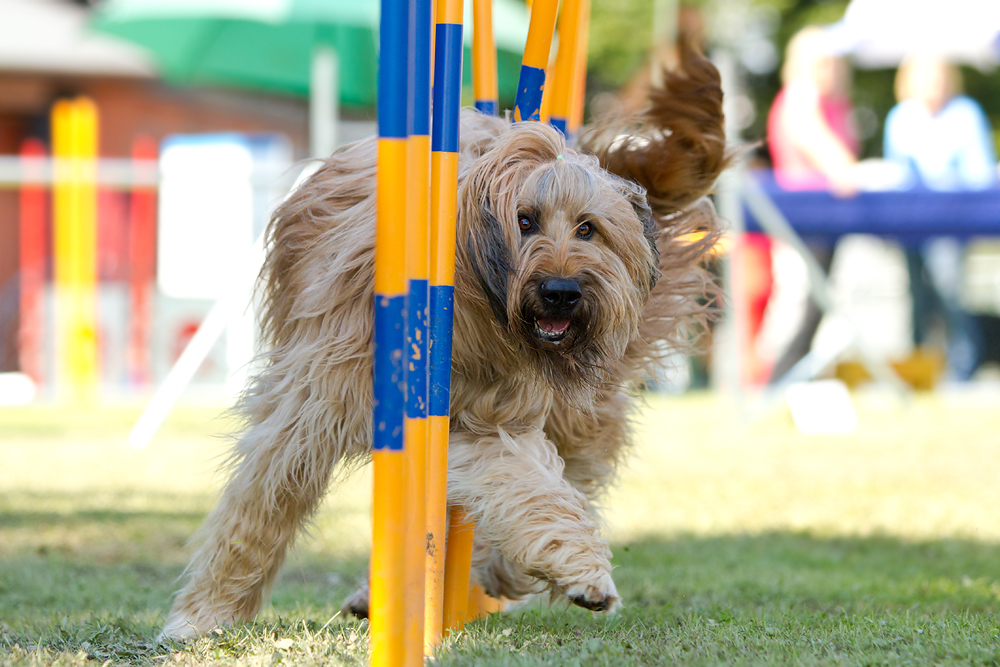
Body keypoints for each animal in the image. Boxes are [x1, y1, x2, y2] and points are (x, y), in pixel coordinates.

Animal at [162, 44, 728, 640]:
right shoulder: (318, 402)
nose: (562, 293)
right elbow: (265, 503)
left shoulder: (490, 416)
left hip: (578, 413)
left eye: (587, 228)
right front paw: (204, 615)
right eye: (524, 221)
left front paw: (581, 570)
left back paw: (480, 578)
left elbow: (521, 481)